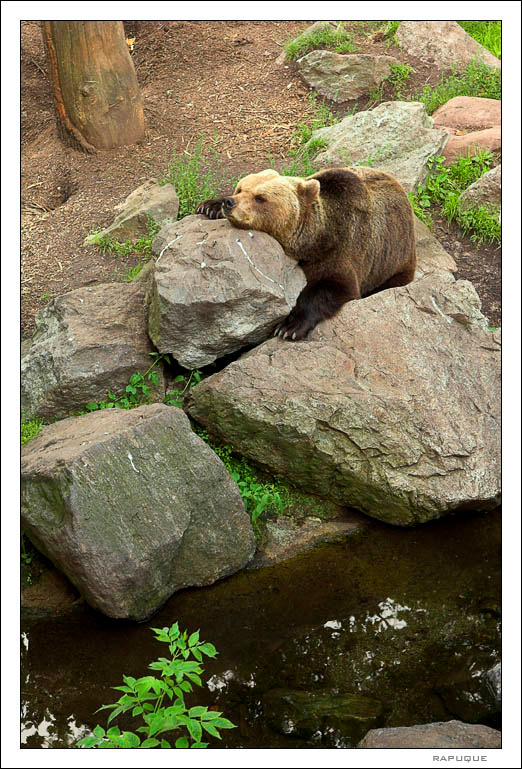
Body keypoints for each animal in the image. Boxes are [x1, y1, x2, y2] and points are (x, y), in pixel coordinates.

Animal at [195, 166, 416, 340]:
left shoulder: (342, 248)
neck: (312, 239)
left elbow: (335, 286)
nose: (229, 202)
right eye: (240, 188)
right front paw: (209, 206)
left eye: (260, 197)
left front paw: (289, 327)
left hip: (392, 260)